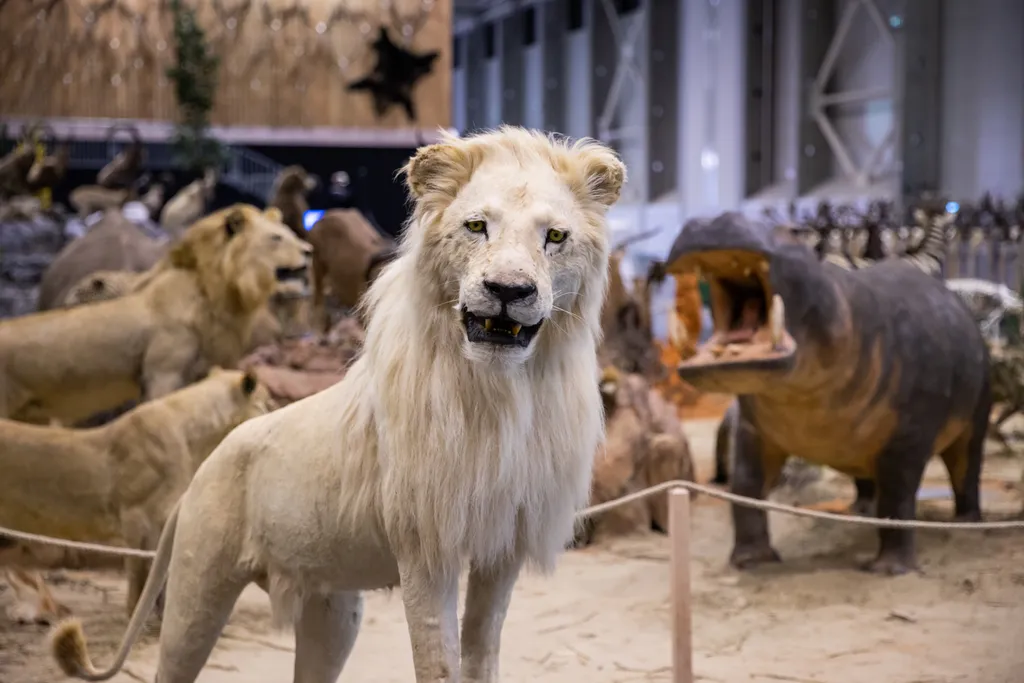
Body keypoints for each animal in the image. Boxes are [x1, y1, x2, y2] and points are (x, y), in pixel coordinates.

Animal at [1, 368, 272, 626]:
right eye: (269, 403)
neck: (197, 439)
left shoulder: (164, 521)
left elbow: (162, 575)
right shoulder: (134, 517)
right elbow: (139, 577)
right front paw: (137, 617)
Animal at [54, 126, 622, 683]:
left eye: (555, 237)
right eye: (477, 226)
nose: (508, 290)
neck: (500, 392)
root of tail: (202, 472)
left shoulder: (502, 548)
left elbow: (482, 656)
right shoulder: (425, 548)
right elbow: (439, 663)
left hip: (331, 609)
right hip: (198, 592)